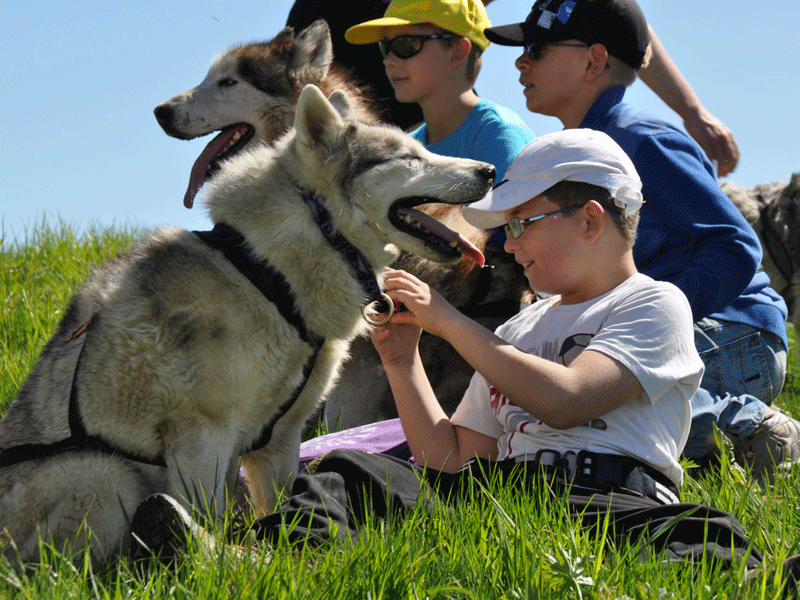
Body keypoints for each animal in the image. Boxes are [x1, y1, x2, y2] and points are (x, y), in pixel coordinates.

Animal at [0, 85, 494, 564]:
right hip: (107, 473)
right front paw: (213, 563)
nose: (489, 170)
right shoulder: (202, 440)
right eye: (409, 158)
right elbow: (208, 515)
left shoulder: (279, 439)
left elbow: (281, 506)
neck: (269, 275)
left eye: (423, 149)